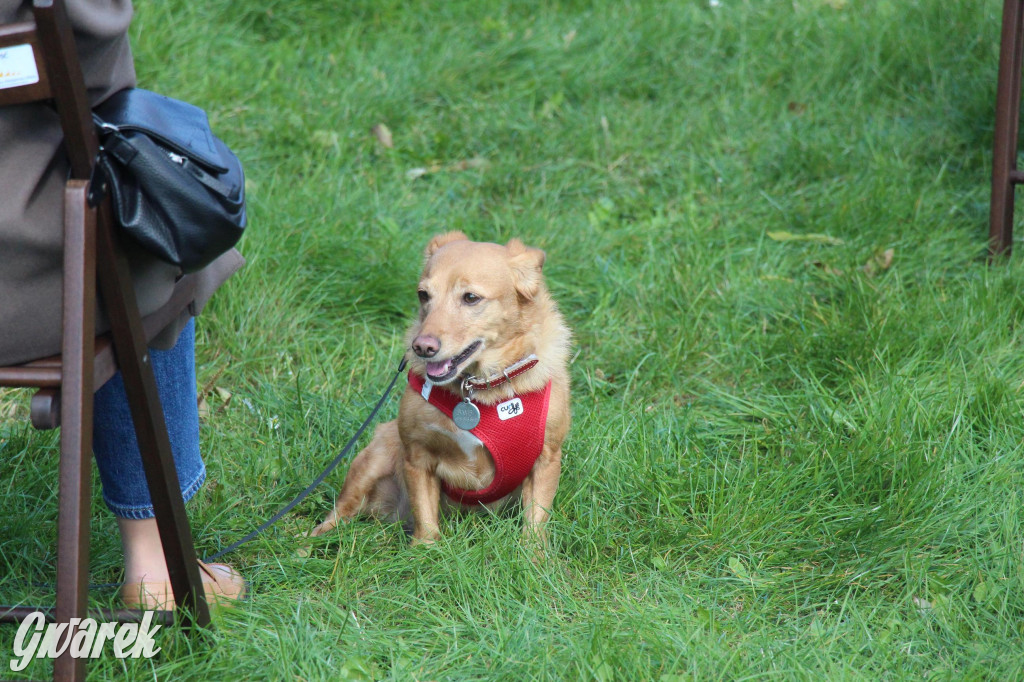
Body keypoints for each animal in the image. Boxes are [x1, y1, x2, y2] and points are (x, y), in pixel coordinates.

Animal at [307, 231, 573, 544]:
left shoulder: (546, 460)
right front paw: (424, 550)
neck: (477, 390)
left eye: (470, 298)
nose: (421, 347)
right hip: (374, 459)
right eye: (423, 295)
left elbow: (535, 523)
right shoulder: (417, 456)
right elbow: (425, 518)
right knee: (341, 511)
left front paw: (533, 555)